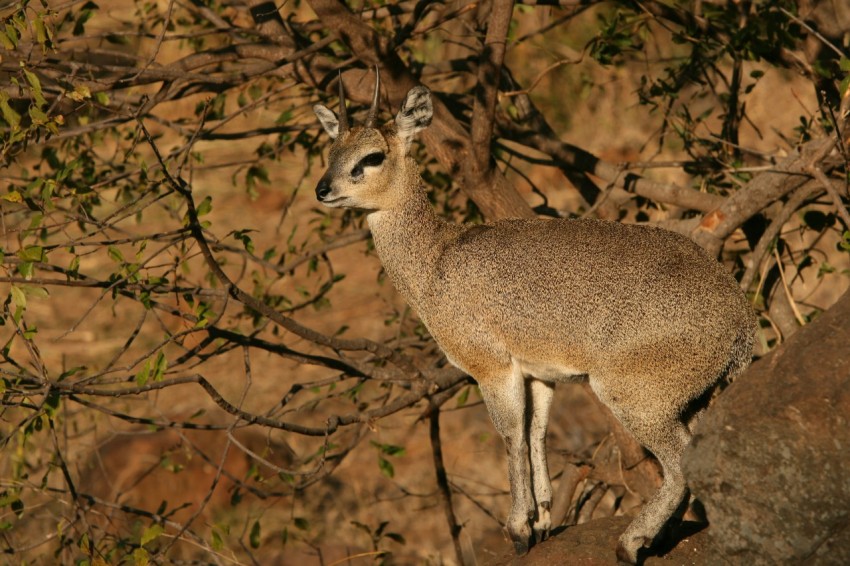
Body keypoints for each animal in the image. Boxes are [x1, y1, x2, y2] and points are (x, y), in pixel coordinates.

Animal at [312, 69, 756, 564]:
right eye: (330, 152)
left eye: (372, 156)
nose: (323, 190)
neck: (436, 260)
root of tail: (742, 321)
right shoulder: (540, 373)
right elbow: (537, 431)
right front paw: (543, 519)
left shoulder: (491, 367)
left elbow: (511, 435)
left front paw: (518, 529)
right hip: (691, 400)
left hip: (635, 396)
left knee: (679, 461)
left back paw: (631, 542)